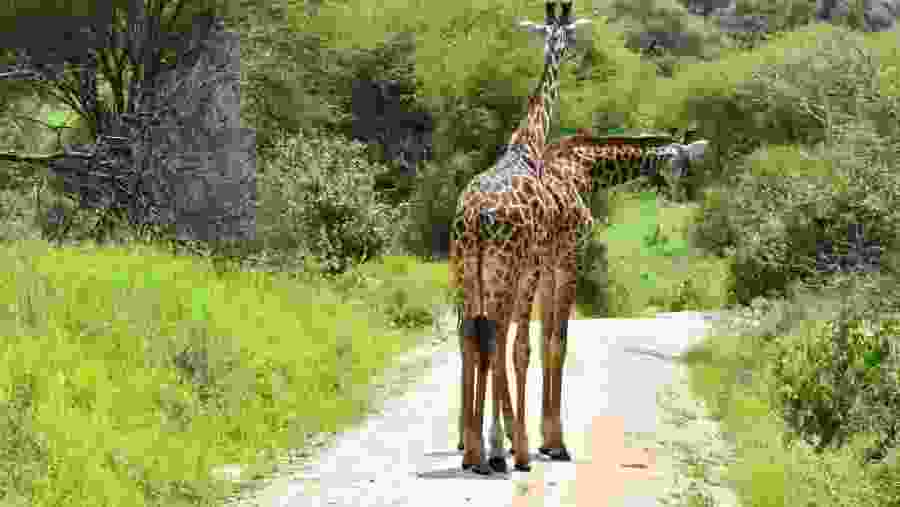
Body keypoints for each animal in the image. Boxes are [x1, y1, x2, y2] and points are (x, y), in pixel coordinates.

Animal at [449, 1, 591, 476]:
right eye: (567, 35)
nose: (567, 50)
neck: (528, 143)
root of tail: (475, 216)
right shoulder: (537, 262)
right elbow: (524, 345)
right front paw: (524, 445)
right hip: (505, 267)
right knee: (494, 337)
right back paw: (498, 452)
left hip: (466, 268)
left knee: (472, 335)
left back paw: (474, 451)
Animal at [528, 129, 710, 461]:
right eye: (678, 166)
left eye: (689, 167)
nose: (680, 196)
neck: (587, 169)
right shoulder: (570, 255)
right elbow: (559, 341)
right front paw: (557, 443)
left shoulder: (549, 264)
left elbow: (546, 338)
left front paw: (545, 440)